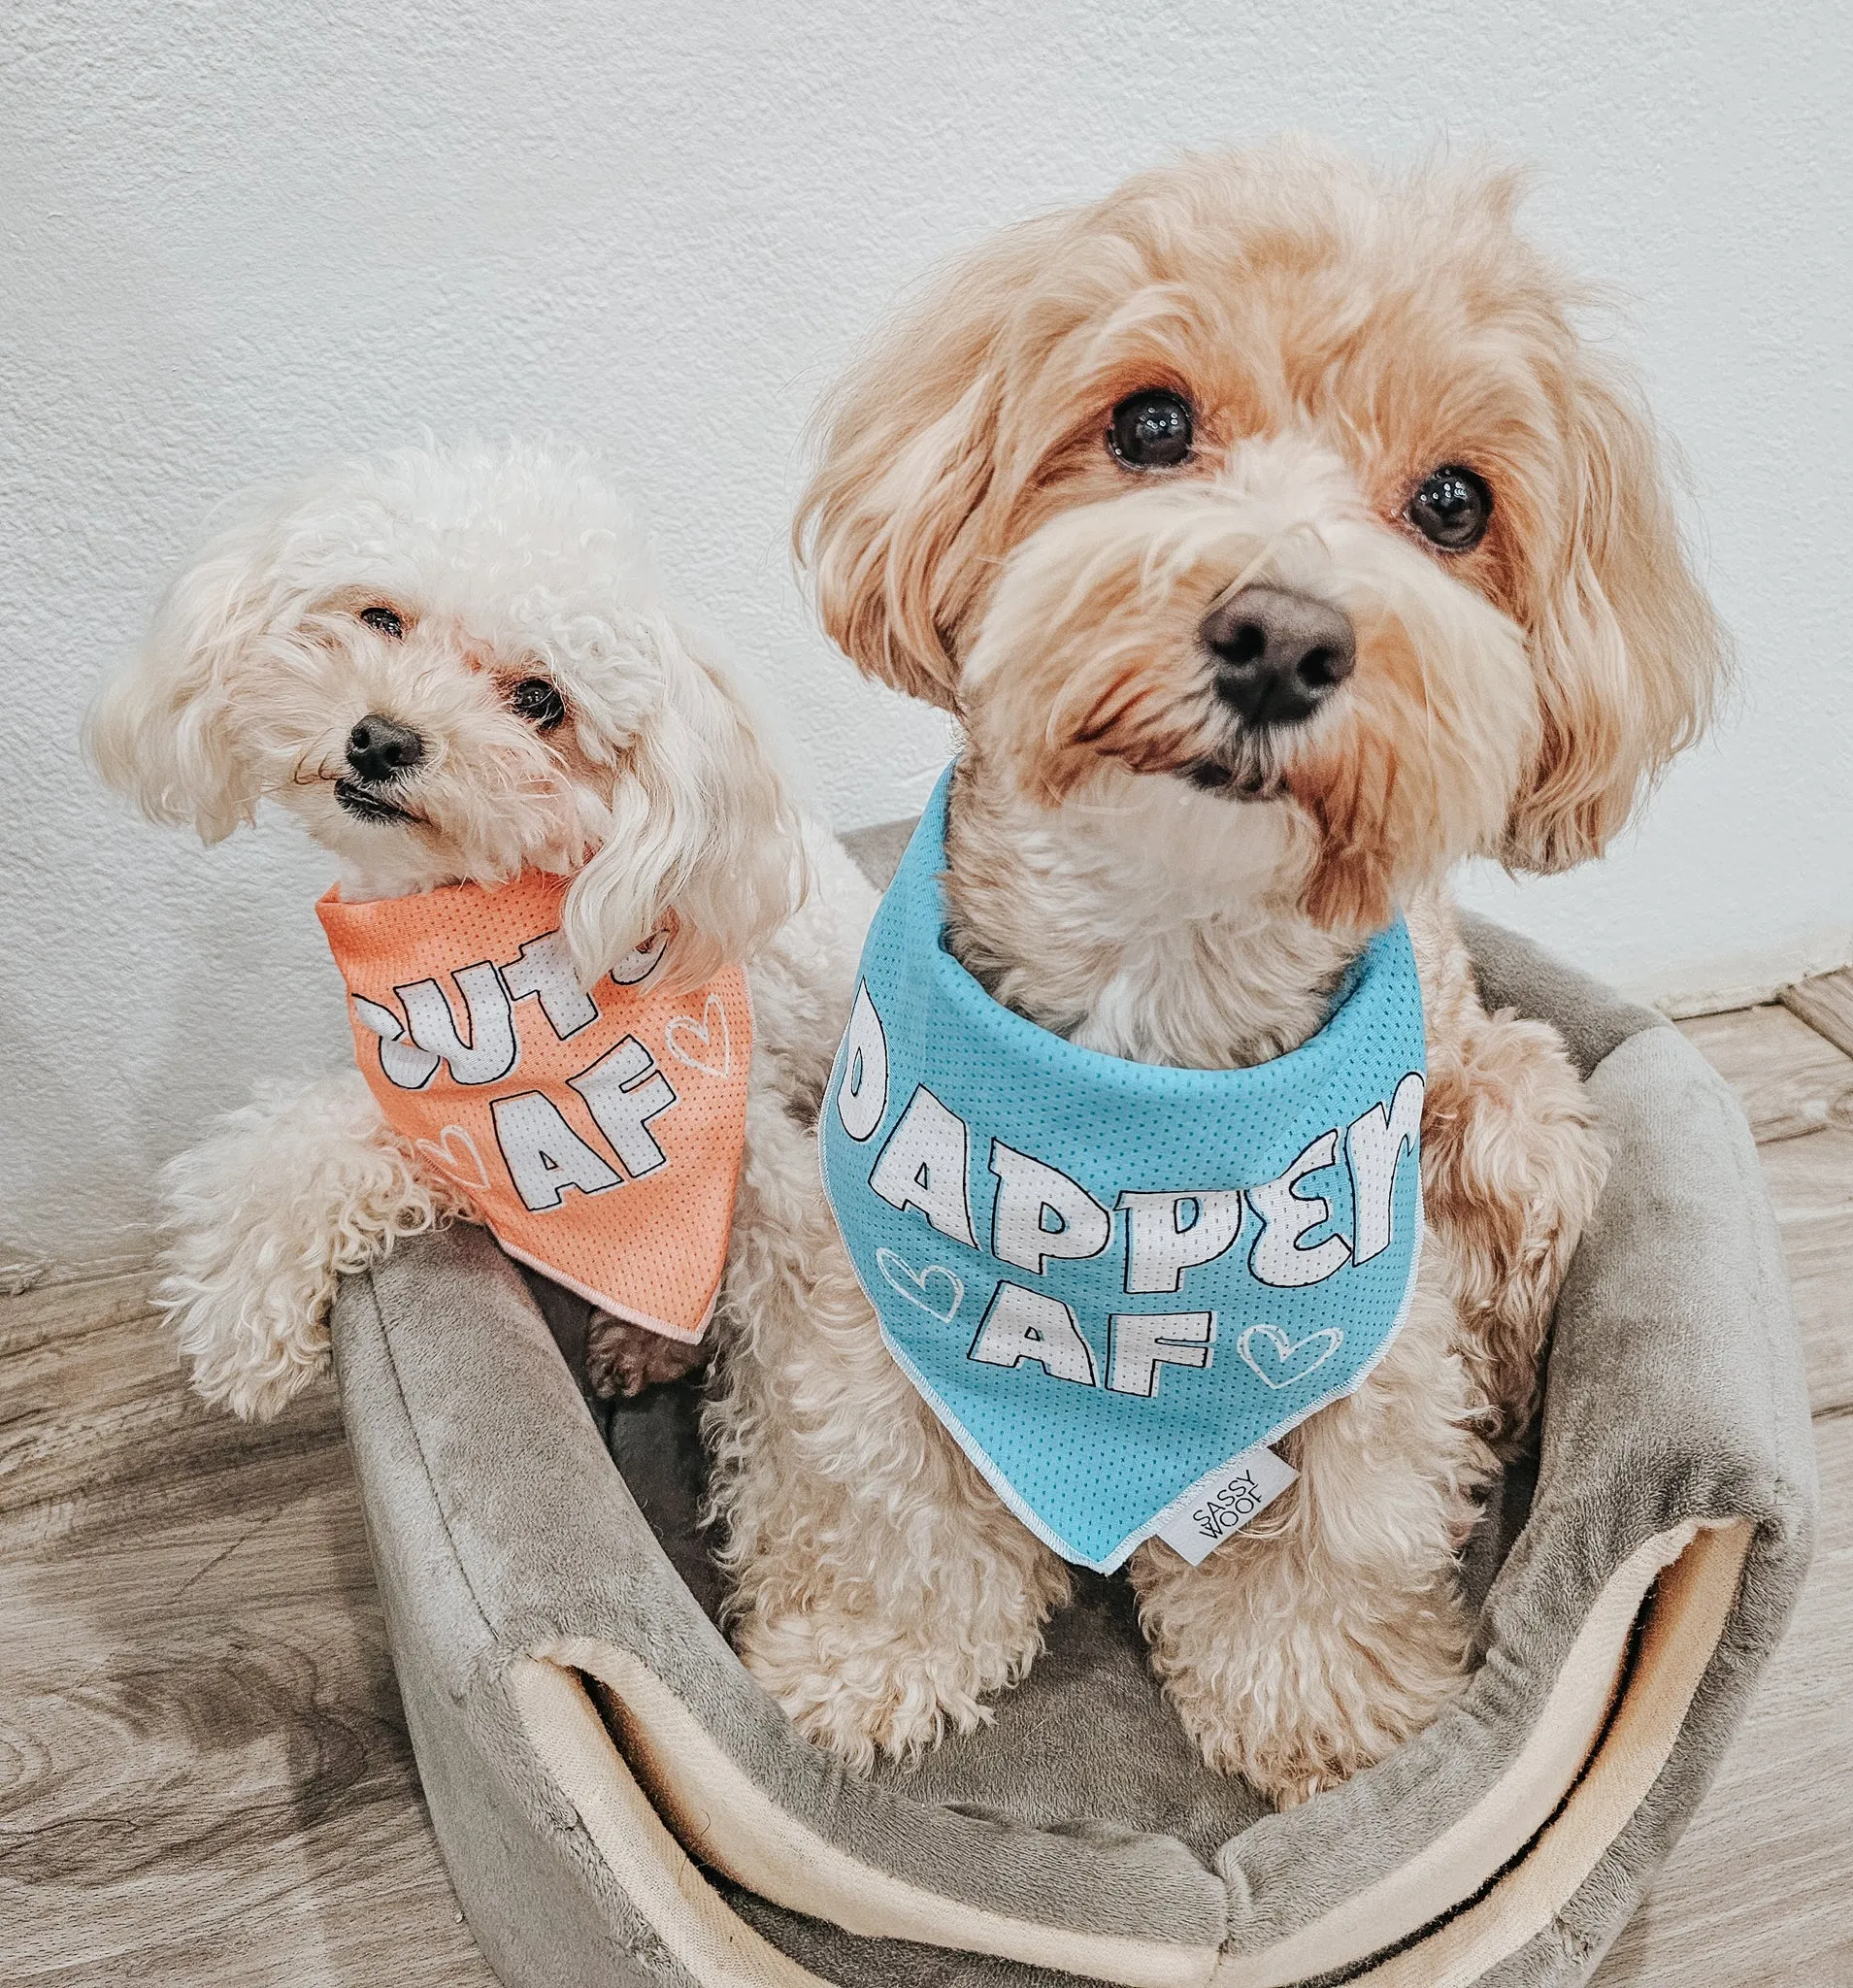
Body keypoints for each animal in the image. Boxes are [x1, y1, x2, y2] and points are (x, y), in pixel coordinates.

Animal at [84, 443, 867, 1423]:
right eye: (380, 618)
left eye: (539, 699)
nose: (382, 740)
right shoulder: (434, 1098)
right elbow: (301, 1143)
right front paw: (243, 1316)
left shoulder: (745, 1152)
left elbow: (816, 1325)